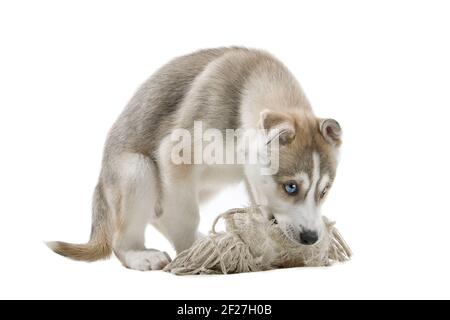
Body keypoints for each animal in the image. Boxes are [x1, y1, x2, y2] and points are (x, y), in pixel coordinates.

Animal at [48, 47, 342, 270]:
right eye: (291, 187)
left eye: (324, 191)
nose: (311, 238)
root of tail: (100, 182)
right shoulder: (176, 153)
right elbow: (186, 215)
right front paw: (196, 254)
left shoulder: (251, 173)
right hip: (137, 170)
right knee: (125, 237)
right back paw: (140, 255)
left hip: (206, 186)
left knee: (159, 213)